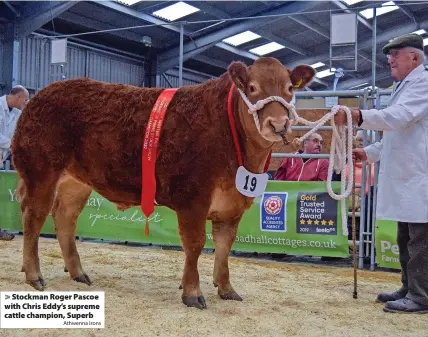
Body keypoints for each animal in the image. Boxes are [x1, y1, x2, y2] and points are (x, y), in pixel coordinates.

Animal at [11, 56, 314, 308]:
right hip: (40, 170)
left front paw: (226, 288)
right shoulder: (193, 196)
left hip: (76, 182)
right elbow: (195, 244)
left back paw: (78, 273)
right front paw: (192, 292)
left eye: (290, 88)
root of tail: (43, 93)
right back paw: (34, 275)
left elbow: (225, 245)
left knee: (65, 218)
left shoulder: (233, 204)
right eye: (252, 88)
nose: (278, 124)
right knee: (34, 217)